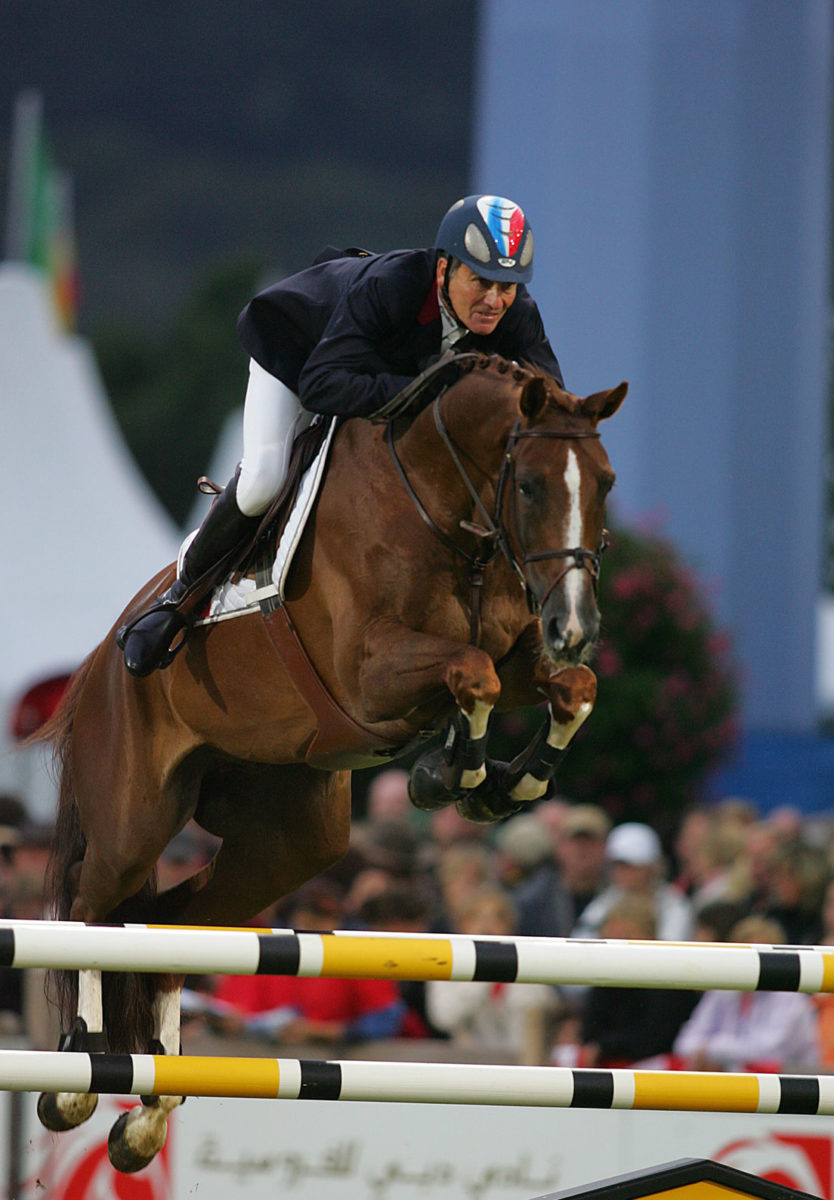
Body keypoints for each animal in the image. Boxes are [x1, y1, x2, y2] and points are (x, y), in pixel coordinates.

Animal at [35, 353, 626, 1171]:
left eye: (605, 483)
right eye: (533, 485)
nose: (574, 626)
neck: (449, 511)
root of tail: (95, 665)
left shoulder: (517, 658)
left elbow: (567, 687)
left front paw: (497, 782)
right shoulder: (371, 673)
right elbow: (471, 670)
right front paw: (457, 774)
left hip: (290, 843)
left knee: (168, 926)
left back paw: (149, 1114)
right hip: (135, 816)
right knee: (92, 909)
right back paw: (78, 1073)